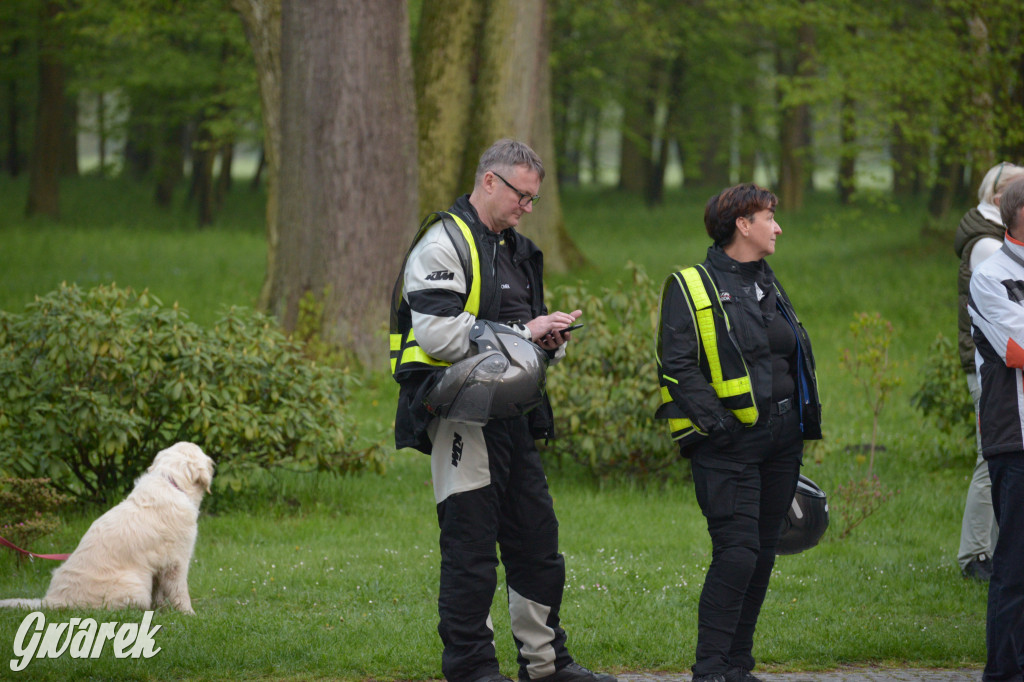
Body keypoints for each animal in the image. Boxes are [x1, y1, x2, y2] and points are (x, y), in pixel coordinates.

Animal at [0, 440, 212, 610]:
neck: (171, 483)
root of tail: (51, 601)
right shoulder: (177, 560)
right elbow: (180, 592)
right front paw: (188, 614)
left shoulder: (161, 565)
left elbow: (160, 591)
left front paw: (162, 610)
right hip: (135, 586)